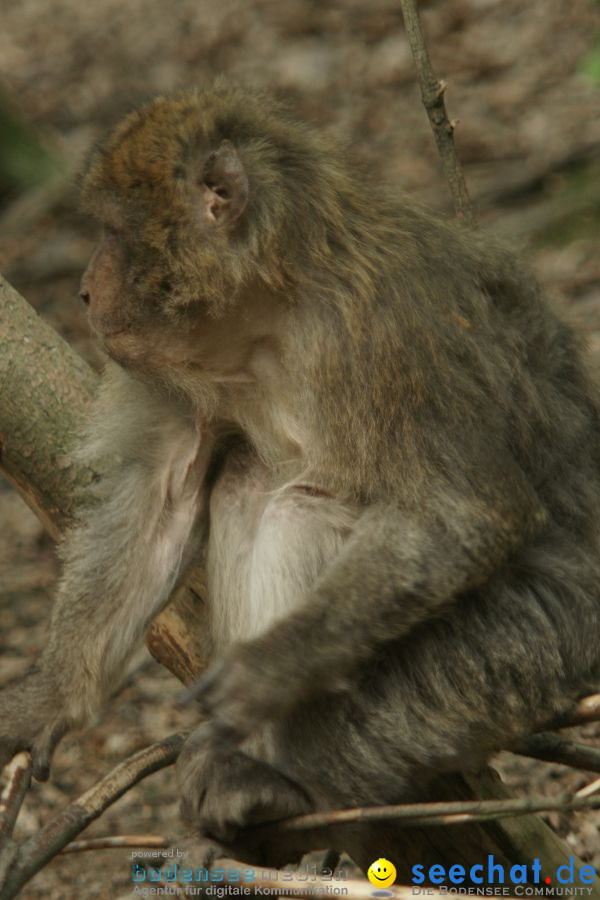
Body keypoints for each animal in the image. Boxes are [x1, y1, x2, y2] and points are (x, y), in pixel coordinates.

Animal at [1, 82, 600, 872]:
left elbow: (462, 516)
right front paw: (54, 696)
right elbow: (162, 506)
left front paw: (267, 671)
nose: (83, 292)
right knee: (249, 485)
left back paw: (275, 781)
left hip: (525, 643)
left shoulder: (393, 332)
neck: (277, 314)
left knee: (302, 512)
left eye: (112, 233)